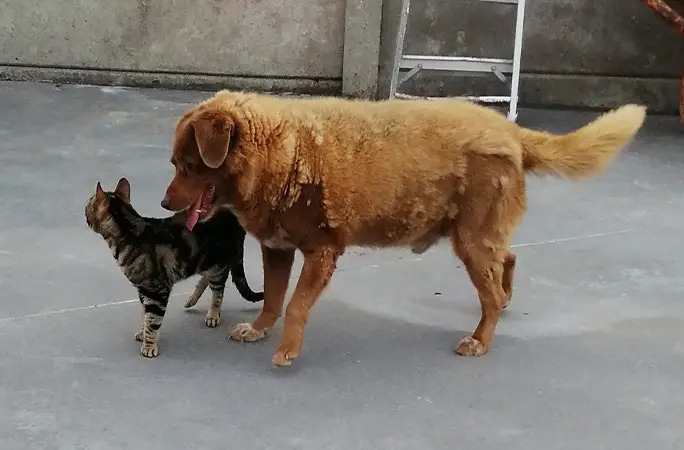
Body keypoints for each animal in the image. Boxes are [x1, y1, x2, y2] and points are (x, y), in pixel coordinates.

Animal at [85, 178, 264, 356]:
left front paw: (149, 345)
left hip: (217, 262)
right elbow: (145, 314)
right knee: (206, 278)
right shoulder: (143, 290)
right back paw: (191, 299)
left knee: (218, 290)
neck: (130, 232)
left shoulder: (156, 291)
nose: (84, 211)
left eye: (88, 205)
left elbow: (152, 320)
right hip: (206, 261)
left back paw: (213, 314)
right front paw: (142, 332)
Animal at [160, 90, 648, 366]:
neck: (287, 150)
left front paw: (287, 350)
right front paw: (260, 328)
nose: (164, 204)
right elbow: (275, 298)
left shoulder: (322, 252)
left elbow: (296, 306)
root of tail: (512, 132)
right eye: (174, 163)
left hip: (471, 241)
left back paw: (480, 340)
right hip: (479, 235)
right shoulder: (277, 248)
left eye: (189, 165)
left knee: (489, 293)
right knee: (507, 258)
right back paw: (505, 299)